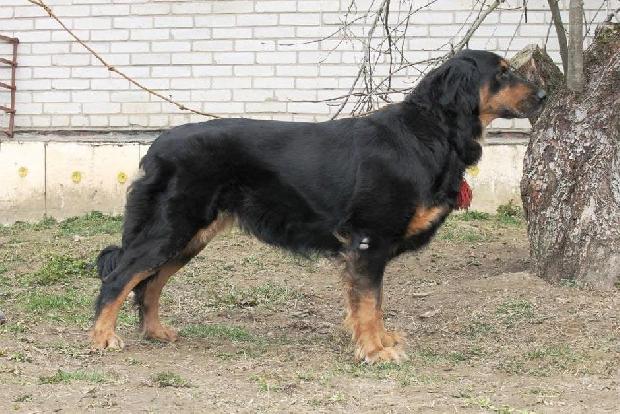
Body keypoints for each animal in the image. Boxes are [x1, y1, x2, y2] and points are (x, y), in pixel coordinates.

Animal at [92, 50, 546, 363]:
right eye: (502, 72)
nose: (544, 94)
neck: (430, 131)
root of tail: (157, 146)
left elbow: (372, 304)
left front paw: (379, 341)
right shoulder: (368, 240)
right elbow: (369, 303)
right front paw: (375, 351)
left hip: (190, 235)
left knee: (150, 283)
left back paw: (155, 332)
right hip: (172, 226)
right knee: (121, 277)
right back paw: (102, 338)